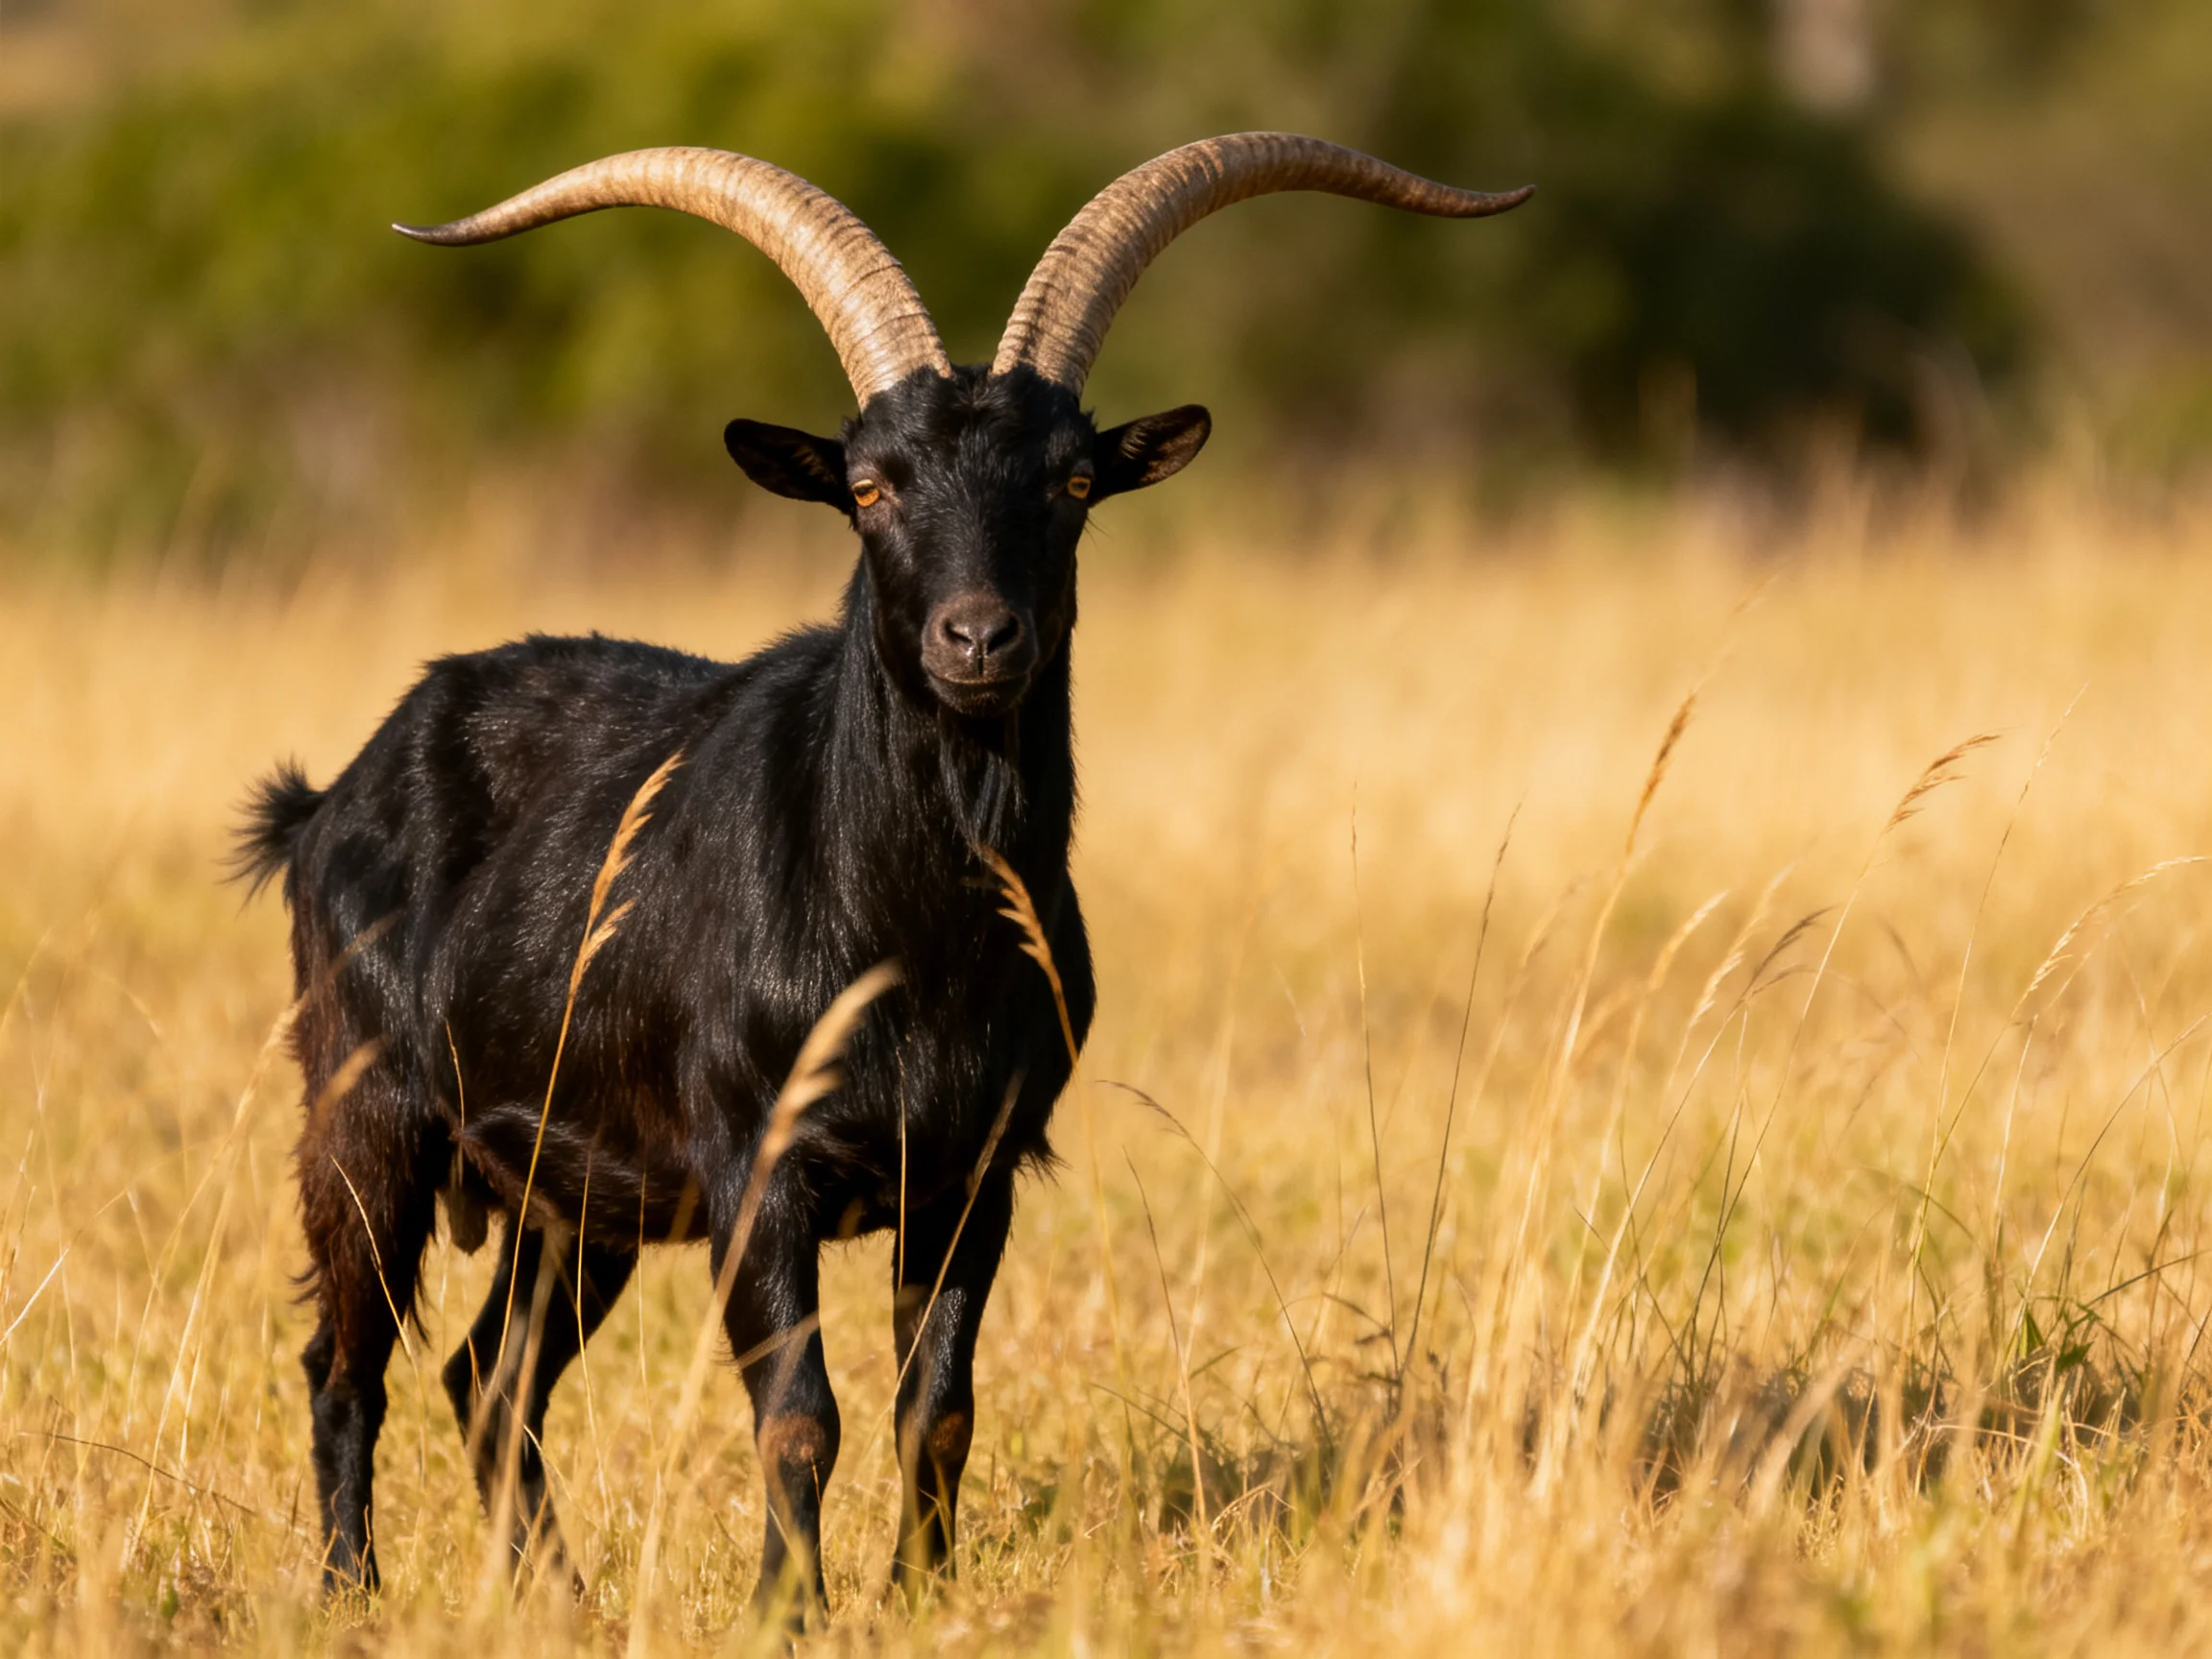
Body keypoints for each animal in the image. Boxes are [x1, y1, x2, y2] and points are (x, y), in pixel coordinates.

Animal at [235, 133, 1530, 1614]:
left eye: (1072, 481)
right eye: (869, 485)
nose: (980, 637)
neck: (912, 927)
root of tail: (331, 799)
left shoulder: (973, 1172)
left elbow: (938, 1407)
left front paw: (923, 1595)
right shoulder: (759, 1165)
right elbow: (801, 1413)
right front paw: (786, 1611)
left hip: (576, 1202)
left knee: (489, 1381)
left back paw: (554, 1602)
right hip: (366, 1124)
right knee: (347, 1362)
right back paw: (352, 1595)